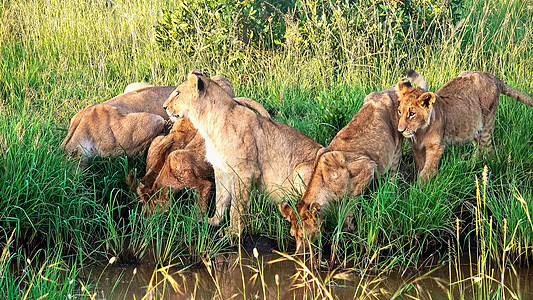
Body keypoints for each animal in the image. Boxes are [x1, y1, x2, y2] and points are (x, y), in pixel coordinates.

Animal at [162, 71, 320, 234]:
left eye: (177, 93)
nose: (164, 107)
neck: (208, 125)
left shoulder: (244, 171)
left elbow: (237, 206)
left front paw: (232, 231)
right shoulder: (221, 170)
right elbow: (221, 198)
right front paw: (213, 221)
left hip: (302, 169)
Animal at [276, 87, 406, 251]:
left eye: (306, 235)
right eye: (293, 235)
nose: (300, 253)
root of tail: (391, 89)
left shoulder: (367, 167)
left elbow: (349, 205)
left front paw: (348, 230)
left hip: (397, 145)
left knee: (394, 174)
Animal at [396, 71, 528, 182]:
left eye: (412, 114)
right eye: (399, 111)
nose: (400, 130)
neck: (419, 132)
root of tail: (490, 75)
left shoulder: (436, 147)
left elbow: (427, 171)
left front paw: (420, 190)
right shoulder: (416, 147)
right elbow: (420, 166)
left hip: (488, 119)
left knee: (485, 149)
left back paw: (472, 165)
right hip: (472, 126)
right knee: (483, 146)